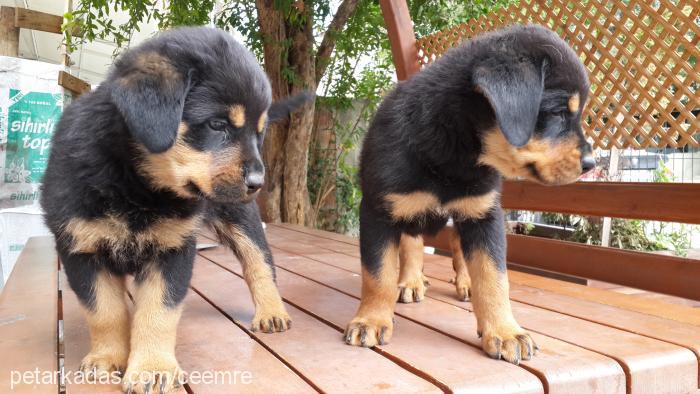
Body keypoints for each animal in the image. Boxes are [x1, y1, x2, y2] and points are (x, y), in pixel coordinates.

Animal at [41, 26, 308, 392]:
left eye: (259, 133)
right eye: (217, 125)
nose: (258, 182)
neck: (136, 185)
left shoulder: (173, 250)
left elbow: (158, 313)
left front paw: (153, 368)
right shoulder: (81, 249)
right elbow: (105, 311)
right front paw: (107, 358)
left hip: (240, 217)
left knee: (260, 262)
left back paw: (271, 311)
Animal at [344, 23, 592, 364]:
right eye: (556, 112)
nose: (591, 164)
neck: (453, 152)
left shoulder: (483, 214)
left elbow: (493, 276)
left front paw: (505, 331)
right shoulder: (377, 211)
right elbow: (378, 273)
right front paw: (370, 320)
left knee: (456, 245)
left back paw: (463, 282)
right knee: (412, 243)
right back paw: (411, 281)